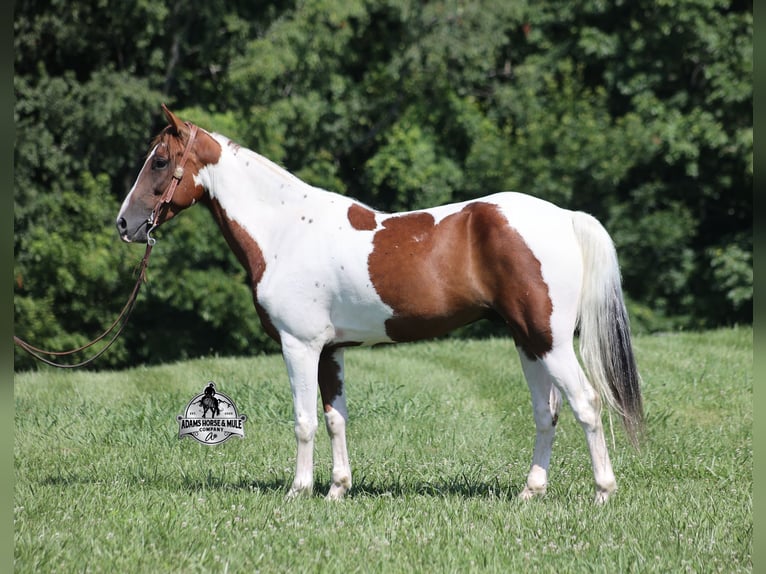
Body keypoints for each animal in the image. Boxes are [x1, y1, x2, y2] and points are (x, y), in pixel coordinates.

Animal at [116, 105, 643, 503]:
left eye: (159, 161)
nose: (125, 224)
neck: (286, 231)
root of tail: (565, 216)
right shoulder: (330, 351)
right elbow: (335, 418)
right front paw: (336, 489)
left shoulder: (299, 346)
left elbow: (305, 421)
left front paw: (298, 491)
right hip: (528, 342)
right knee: (545, 412)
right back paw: (530, 492)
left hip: (550, 341)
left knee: (586, 403)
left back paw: (603, 492)